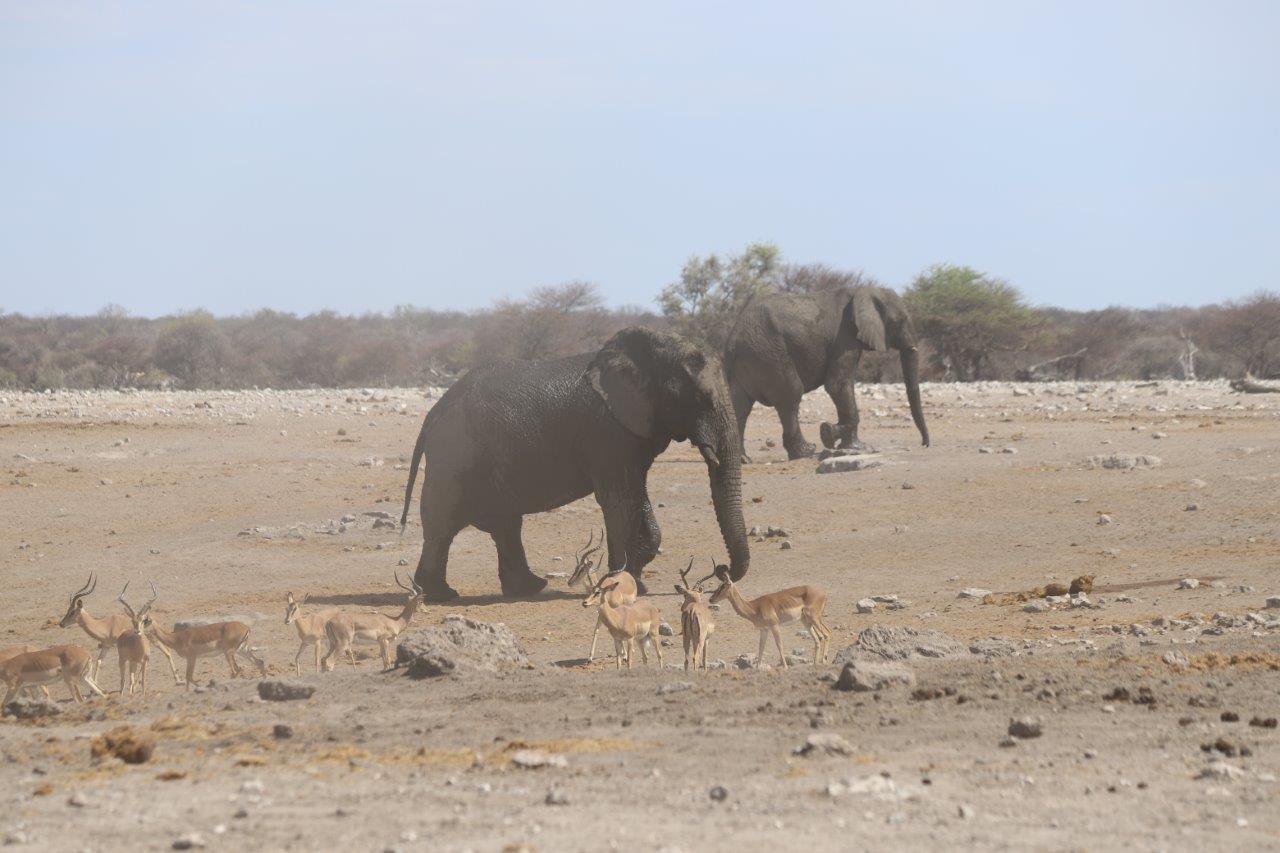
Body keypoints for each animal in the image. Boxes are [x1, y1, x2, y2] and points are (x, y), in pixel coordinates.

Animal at [399, 326, 751, 601]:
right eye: (702, 398)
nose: (722, 569)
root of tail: (433, 413)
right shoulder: (607, 431)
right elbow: (620, 499)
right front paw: (627, 585)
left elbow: (636, 496)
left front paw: (636, 579)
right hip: (453, 455)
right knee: (443, 524)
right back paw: (442, 595)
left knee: (505, 524)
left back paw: (528, 588)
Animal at [723, 286, 930, 460]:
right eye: (900, 321)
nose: (925, 444)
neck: (861, 292)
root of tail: (733, 337)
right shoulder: (844, 337)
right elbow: (838, 385)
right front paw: (846, 442)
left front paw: (836, 437)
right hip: (769, 353)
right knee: (790, 396)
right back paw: (806, 452)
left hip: (750, 359)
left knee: (740, 406)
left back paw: (743, 460)